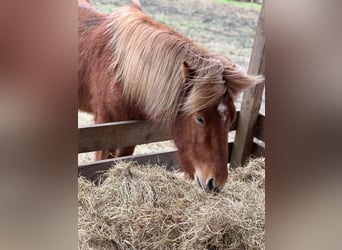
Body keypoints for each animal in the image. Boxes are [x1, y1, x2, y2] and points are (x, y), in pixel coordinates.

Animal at [78, 0, 264, 191]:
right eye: (199, 119)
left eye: (232, 118)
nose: (216, 183)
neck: (121, 73)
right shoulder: (104, 129)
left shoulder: (129, 134)